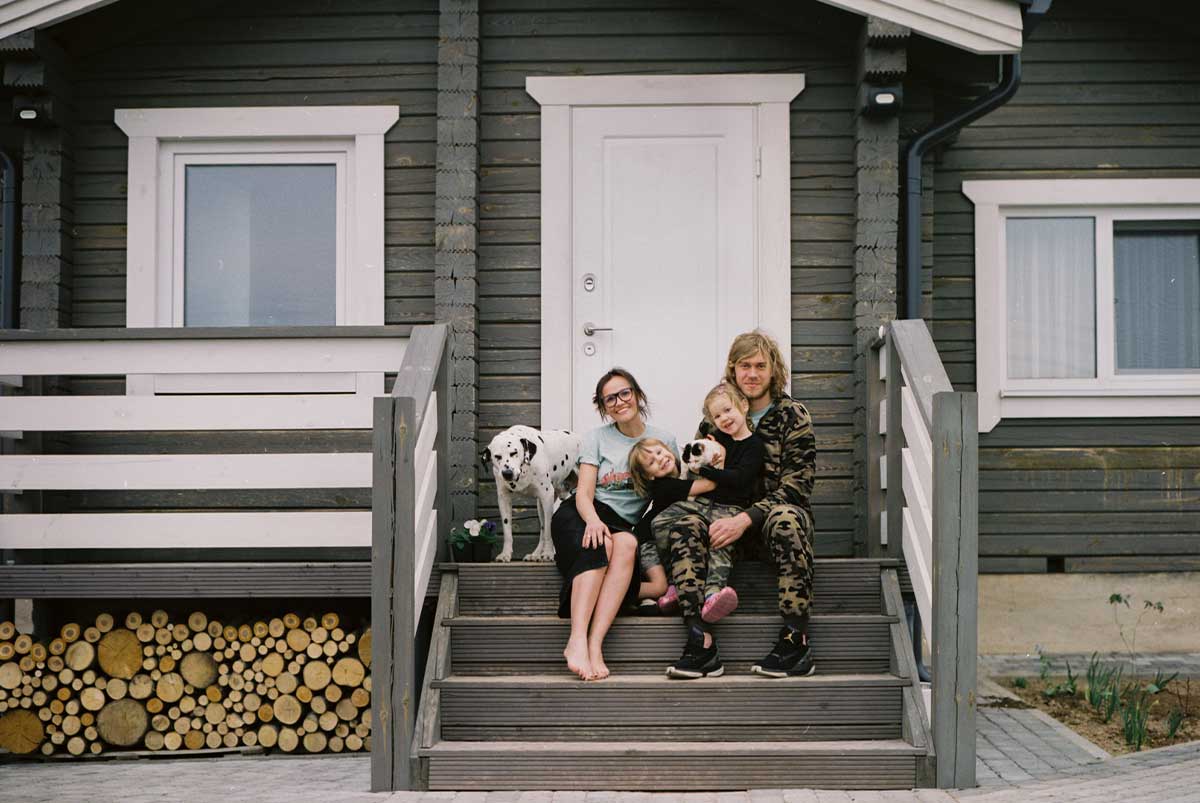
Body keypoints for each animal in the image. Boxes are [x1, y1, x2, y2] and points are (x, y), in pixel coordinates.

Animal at [482, 422, 585, 561]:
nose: (507, 473)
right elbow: (507, 530)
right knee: (542, 529)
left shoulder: (546, 495)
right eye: (497, 456)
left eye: (514, 452)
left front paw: (548, 553)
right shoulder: (503, 498)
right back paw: (535, 554)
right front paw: (505, 554)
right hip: (540, 505)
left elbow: (548, 530)